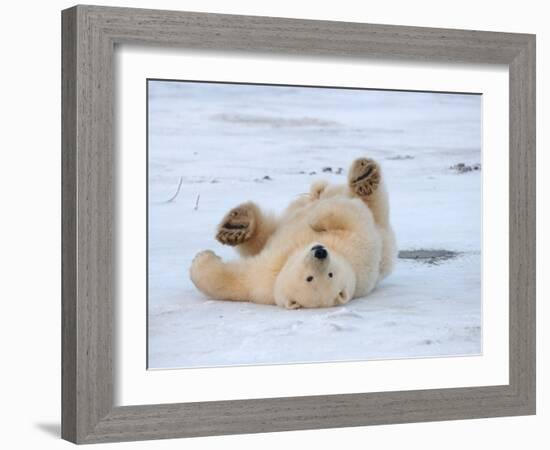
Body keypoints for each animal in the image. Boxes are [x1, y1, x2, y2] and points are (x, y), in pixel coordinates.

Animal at [190, 158, 396, 310]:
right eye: (309, 278)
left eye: (329, 274)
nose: (320, 252)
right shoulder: (265, 278)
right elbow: (236, 281)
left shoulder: (360, 247)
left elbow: (352, 216)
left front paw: (201, 259)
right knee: (267, 231)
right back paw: (237, 226)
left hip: (383, 233)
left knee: (373, 205)